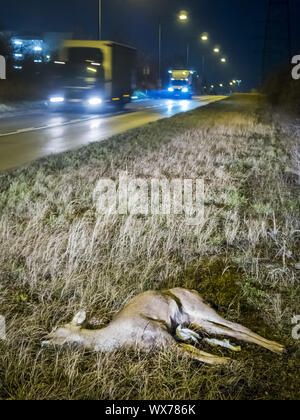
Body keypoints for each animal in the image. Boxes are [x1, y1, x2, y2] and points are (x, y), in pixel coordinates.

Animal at [43, 288, 284, 366]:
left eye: (58, 328)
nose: (43, 340)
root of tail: (193, 291)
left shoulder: (162, 335)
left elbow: (195, 352)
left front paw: (227, 362)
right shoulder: (166, 344)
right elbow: (192, 352)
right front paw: (226, 360)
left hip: (201, 310)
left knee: (238, 325)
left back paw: (280, 347)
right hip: (198, 321)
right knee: (230, 331)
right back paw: (278, 348)